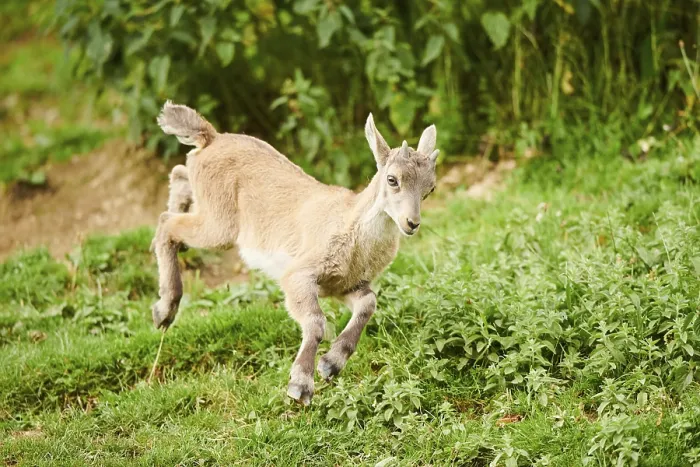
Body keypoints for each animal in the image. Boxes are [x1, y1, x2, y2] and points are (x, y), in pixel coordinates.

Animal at [151, 101, 439, 405]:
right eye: (392, 179)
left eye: (430, 189)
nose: (411, 223)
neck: (352, 229)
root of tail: (211, 137)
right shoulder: (299, 274)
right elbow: (315, 320)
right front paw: (300, 385)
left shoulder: (344, 284)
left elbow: (368, 304)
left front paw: (331, 364)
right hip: (219, 227)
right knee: (166, 222)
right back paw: (165, 310)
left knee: (179, 175)